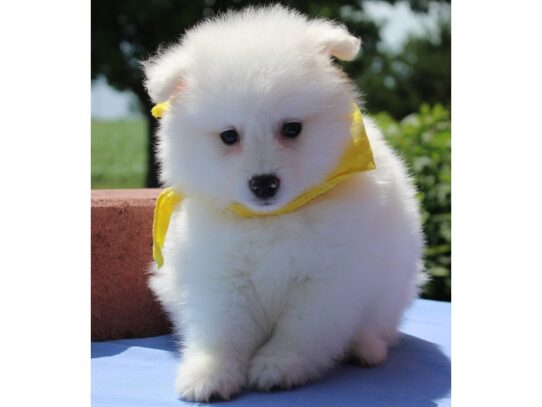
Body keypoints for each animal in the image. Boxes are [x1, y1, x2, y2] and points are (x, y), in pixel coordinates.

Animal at [144, 4, 424, 404]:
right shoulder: (220, 277)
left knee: (377, 328)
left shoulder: (327, 282)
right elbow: (222, 332)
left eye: (292, 129)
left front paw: (278, 366)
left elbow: (301, 332)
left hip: (391, 293)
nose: (264, 183)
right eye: (229, 136)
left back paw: (366, 349)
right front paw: (209, 373)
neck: (272, 219)